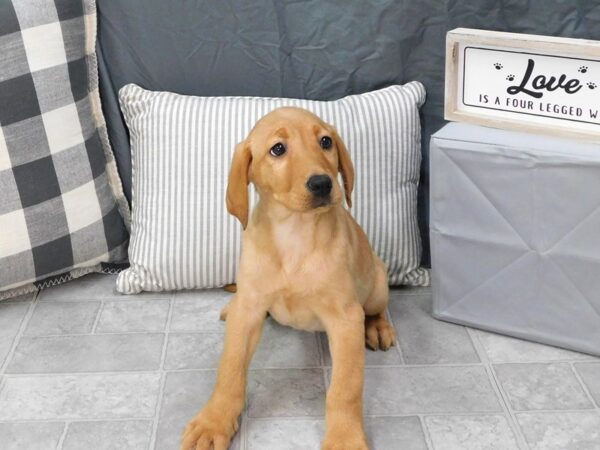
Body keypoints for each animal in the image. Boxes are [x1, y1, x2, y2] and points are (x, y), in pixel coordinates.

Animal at [183, 106, 398, 450]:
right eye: (278, 149)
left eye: (325, 142)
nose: (323, 184)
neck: (295, 233)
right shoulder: (249, 311)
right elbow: (229, 369)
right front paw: (213, 421)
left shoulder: (346, 318)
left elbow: (345, 387)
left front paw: (345, 437)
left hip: (377, 282)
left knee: (376, 309)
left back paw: (377, 327)